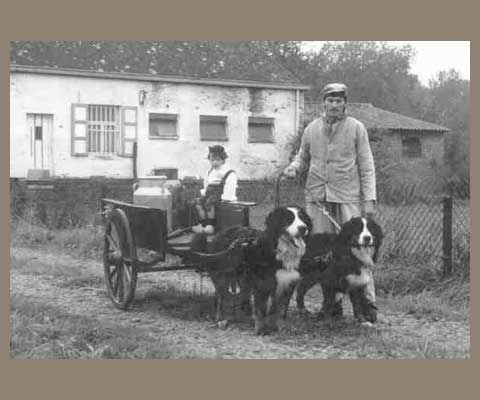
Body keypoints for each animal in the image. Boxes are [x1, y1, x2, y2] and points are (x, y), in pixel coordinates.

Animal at [189, 206, 314, 334]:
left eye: (303, 219)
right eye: (288, 219)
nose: (303, 228)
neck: (280, 252)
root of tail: (218, 235)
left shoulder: (288, 283)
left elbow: (279, 310)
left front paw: (278, 328)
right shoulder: (264, 283)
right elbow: (262, 310)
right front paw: (261, 330)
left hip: (244, 279)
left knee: (242, 296)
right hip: (223, 276)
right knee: (219, 297)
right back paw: (220, 319)